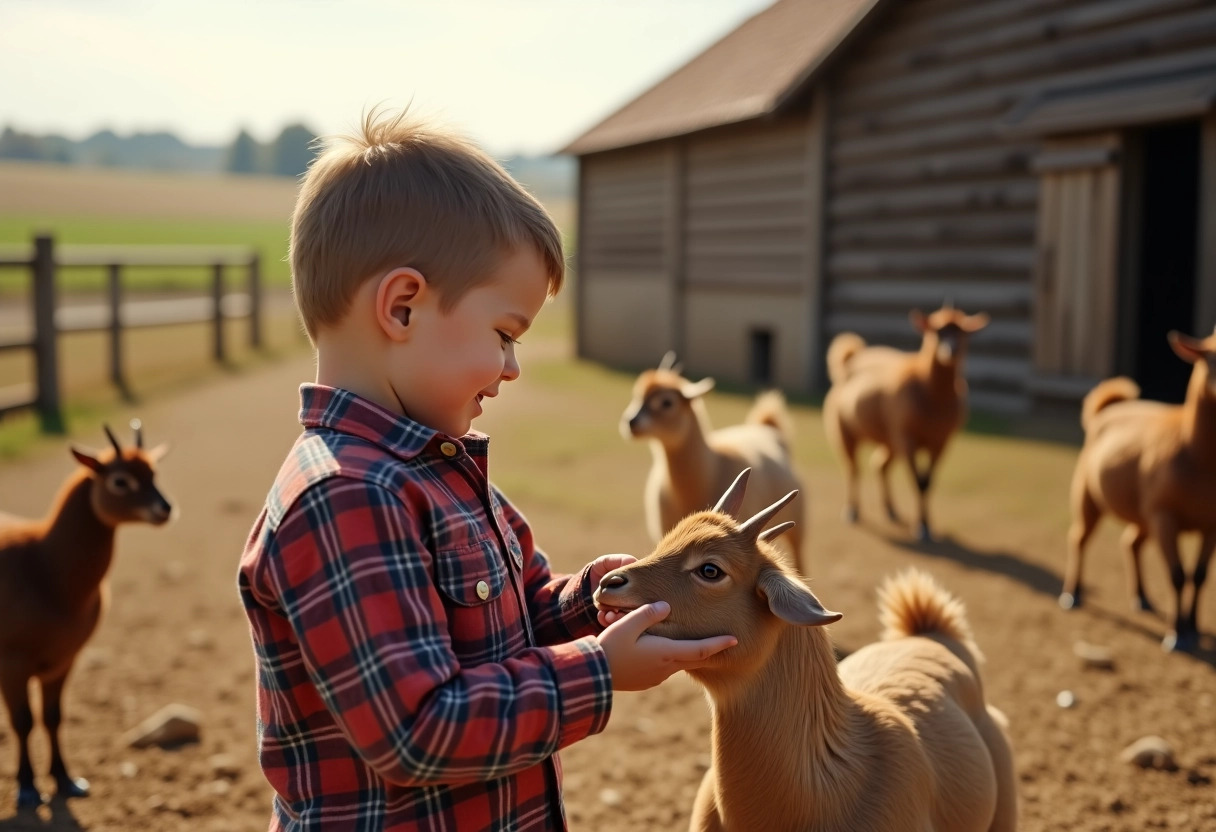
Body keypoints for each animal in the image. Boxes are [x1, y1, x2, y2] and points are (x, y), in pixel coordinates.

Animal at [0, 423, 171, 807]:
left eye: (153, 472)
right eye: (120, 480)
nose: (164, 509)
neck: (45, 567)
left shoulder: (63, 661)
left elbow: (52, 717)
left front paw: (65, 780)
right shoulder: (13, 665)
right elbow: (22, 721)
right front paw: (28, 787)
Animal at [617, 350, 807, 571]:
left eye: (667, 402)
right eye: (638, 394)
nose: (631, 422)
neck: (712, 468)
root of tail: (768, 427)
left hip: (799, 529)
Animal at [822, 304, 992, 540]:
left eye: (964, 332)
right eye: (936, 331)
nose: (951, 350)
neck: (930, 391)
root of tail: (849, 362)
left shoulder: (941, 442)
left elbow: (928, 483)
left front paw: (926, 524)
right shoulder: (907, 438)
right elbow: (918, 483)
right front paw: (921, 527)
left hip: (890, 440)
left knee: (880, 466)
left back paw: (890, 509)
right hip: (845, 431)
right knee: (852, 469)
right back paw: (852, 510)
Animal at [1060, 328, 1216, 651]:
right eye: (1212, 359)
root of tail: (1106, 410)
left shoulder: (1211, 525)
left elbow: (1200, 576)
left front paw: (1193, 628)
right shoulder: (1165, 516)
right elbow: (1177, 575)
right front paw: (1177, 635)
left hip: (1142, 515)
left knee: (1131, 544)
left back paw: (1142, 598)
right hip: (1089, 498)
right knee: (1079, 539)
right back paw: (1072, 594)